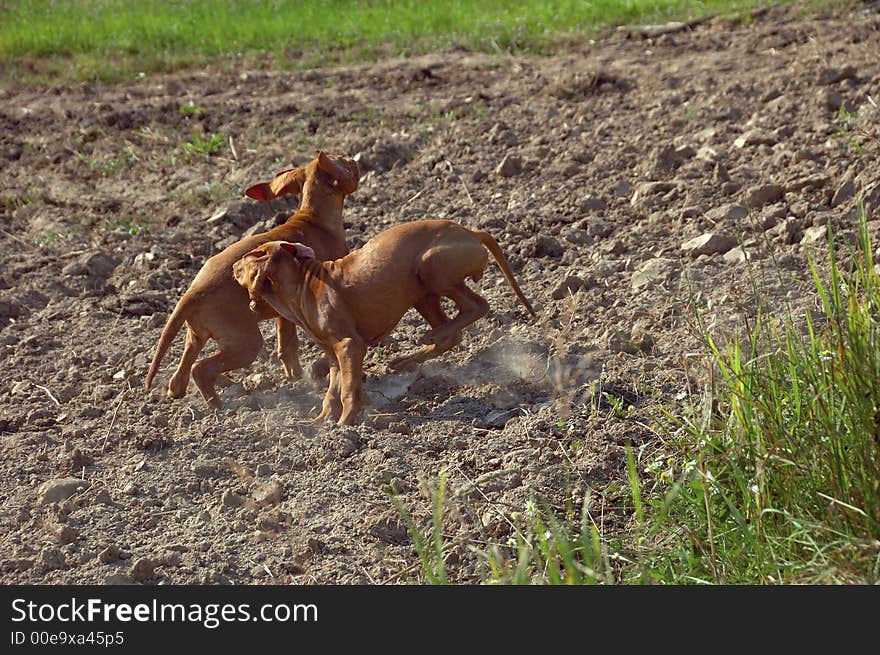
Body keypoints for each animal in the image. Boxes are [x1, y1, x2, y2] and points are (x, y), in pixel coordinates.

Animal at [146, 151, 360, 404]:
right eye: (343, 160)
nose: (354, 160)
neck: (313, 218)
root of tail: (193, 292)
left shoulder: (285, 313)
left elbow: (287, 347)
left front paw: (298, 378)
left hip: (197, 336)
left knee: (179, 378)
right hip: (246, 343)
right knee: (200, 369)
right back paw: (220, 405)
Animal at [232, 220, 536, 426]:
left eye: (252, 255)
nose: (233, 266)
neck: (304, 284)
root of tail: (471, 232)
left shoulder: (349, 346)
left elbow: (348, 390)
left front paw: (344, 424)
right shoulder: (334, 356)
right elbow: (332, 391)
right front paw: (320, 421)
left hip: (430, 267)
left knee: (477, 306)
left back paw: (428, 337)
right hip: (422, 293)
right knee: (453, 334)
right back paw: (407, 358)